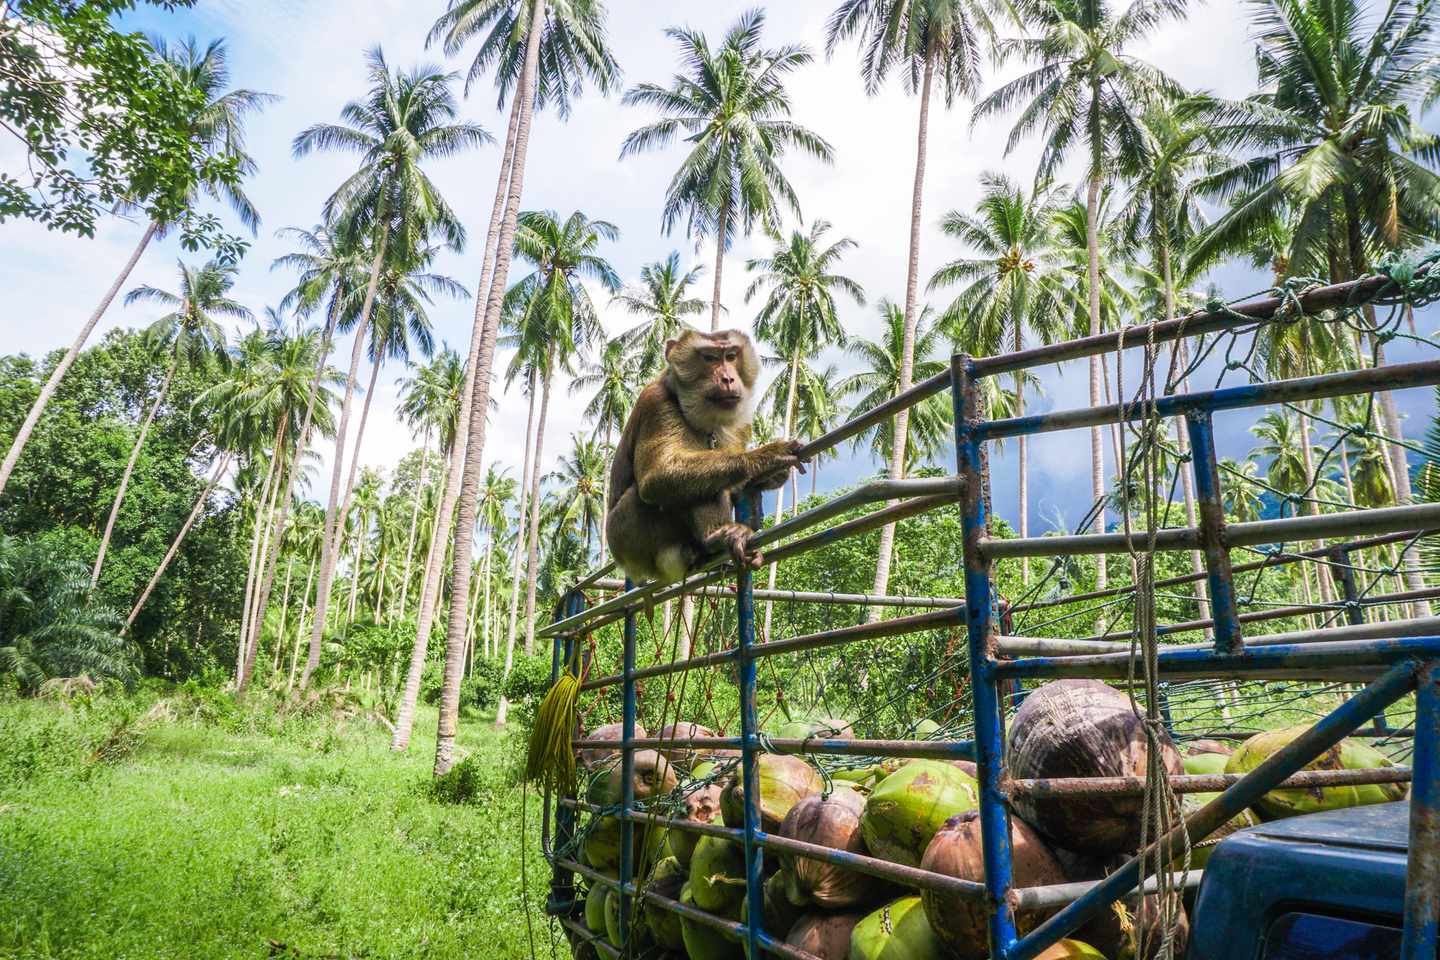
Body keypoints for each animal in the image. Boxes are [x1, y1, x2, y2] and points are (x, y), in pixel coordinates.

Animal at [604, 329, 807, 584]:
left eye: (731, 356)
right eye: (710, 358)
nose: (728, 379)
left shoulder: (741, 424)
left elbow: (739, 486)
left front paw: (772, 476)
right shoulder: (656, 402)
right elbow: (657, 476)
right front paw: (765, 456)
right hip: (628, 538)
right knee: (678, 488)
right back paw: (715, 538)